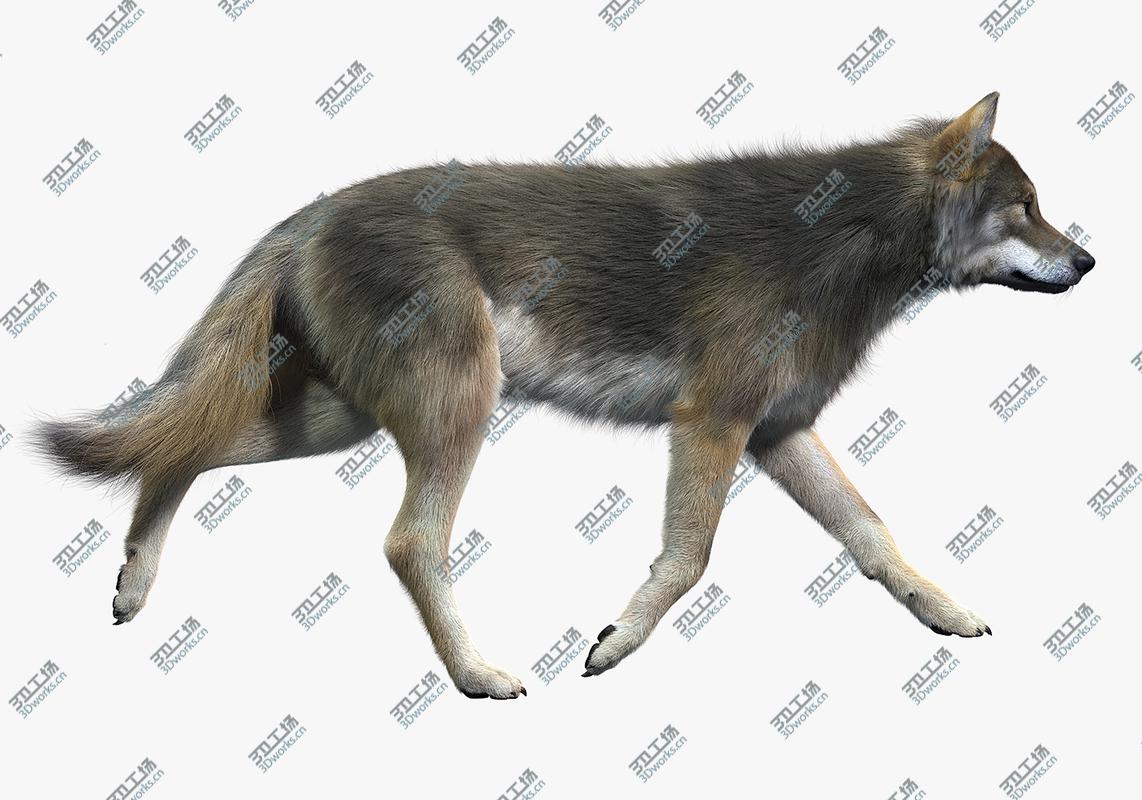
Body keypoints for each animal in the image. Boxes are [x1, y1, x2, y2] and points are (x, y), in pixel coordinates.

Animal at [33, 92, 1093, 699]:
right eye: (1028, 207)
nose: (1089, 261)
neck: (846, 238)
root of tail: (310, 213)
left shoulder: (775, 434)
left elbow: (872, 536)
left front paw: (944, 614)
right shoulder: (711, 424)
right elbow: (691, 559)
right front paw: (615, 645)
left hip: (341, 421)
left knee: (178, 448)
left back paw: (133, 585)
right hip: (453, 411)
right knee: (407, 543)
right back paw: (477, 678)